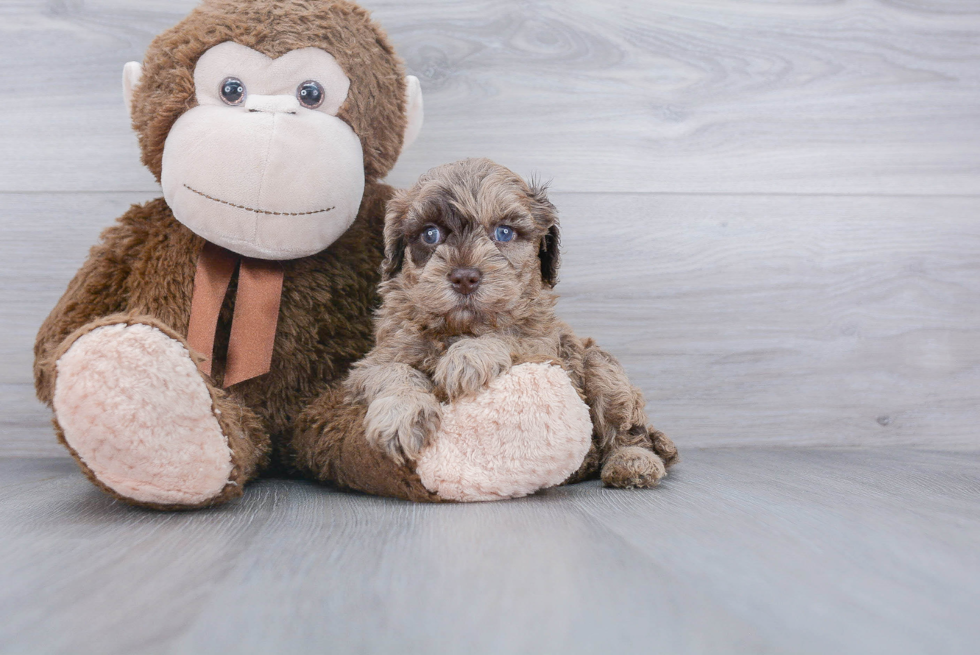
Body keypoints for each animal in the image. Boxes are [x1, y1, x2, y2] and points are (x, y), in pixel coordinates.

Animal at [342, 158, 672, 486]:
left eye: (503, 233)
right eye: (430, 234)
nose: (464, 278)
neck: (459, 327)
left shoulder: (542, 346)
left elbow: (507, 335)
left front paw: (467, 357)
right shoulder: (375, 360)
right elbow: (393, 371)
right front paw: (401, 414)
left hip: (601, 367)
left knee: (628, 428)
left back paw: (632, 461)